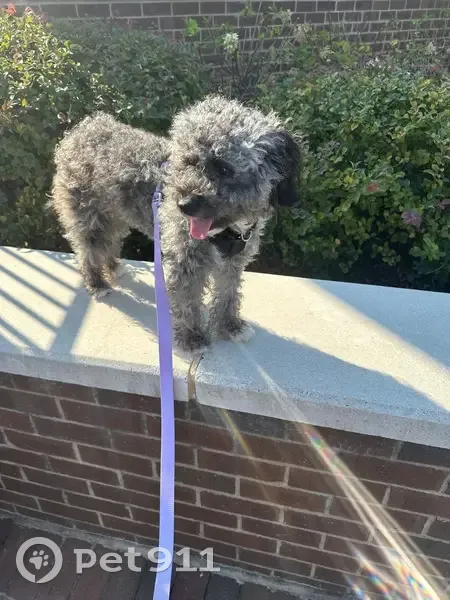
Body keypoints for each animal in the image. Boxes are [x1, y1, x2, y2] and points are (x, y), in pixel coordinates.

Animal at [51, 95, 301, 353]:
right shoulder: (186, 262)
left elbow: (229, 294)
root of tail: (81, 130)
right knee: (88, 250)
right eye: (189, 161)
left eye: (224, 167)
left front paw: (230, 326)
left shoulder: (233, 263)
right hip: (88, 215)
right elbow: (187, 300)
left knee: (108, 243)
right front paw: (192, 338)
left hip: (115, 214)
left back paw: (113, 267)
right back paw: (97, 282)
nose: (184, 205)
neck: (228, 232)